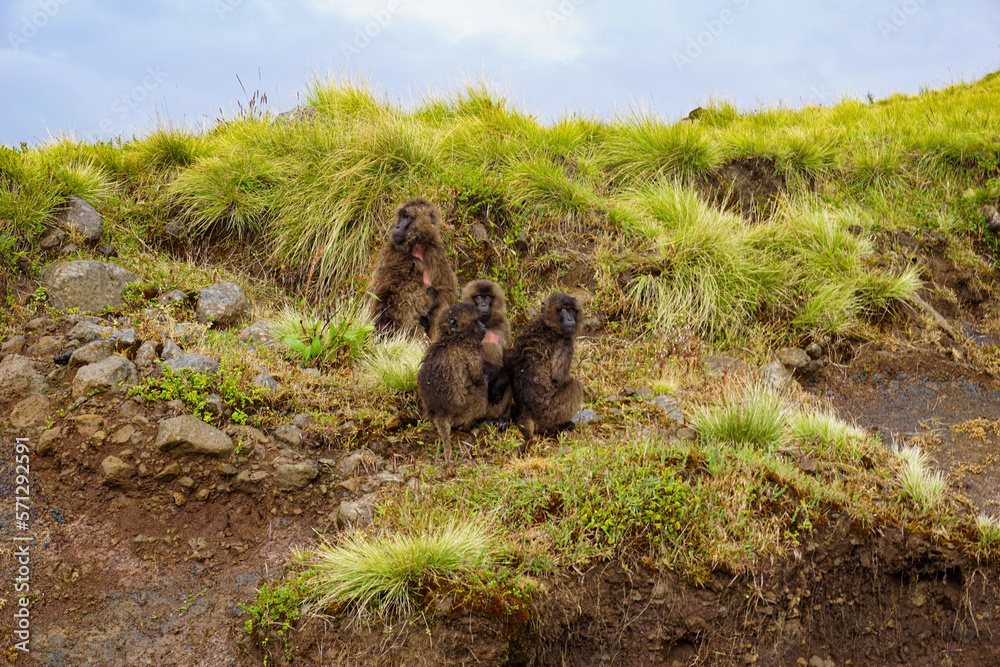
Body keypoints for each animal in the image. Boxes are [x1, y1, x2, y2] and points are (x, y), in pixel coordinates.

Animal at [368, 197, 459, 339]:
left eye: (408, 217)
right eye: (402, 216)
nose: (397, 227)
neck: (415, 245)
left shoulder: (434, 253)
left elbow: (447, 291)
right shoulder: (390, 250)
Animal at [417, 303, 493, 466]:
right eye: (476, 321)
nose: (484, 326)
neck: (452, 337)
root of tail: (440, 414)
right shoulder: (472, 350)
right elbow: (477, 378)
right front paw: (484, 378)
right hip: (461, 413)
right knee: (481, 393)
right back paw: (468, 427)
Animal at [461, 279, 513, 418]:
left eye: (488, 297)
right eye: (479, 297)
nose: (483, 305)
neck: (486, 324)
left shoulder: (504, 326)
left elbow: (507, 359)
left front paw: (500, 381)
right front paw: (489, 373)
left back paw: (498, 418)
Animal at [504, 293, 585, 452]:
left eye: (572, 310)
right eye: (563, 311)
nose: (570, 319)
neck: (547, 325)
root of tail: (526, 413)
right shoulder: (565, 344)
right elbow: (559, 379)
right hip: (548, 414)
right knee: (576, 386)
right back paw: (556, 427)